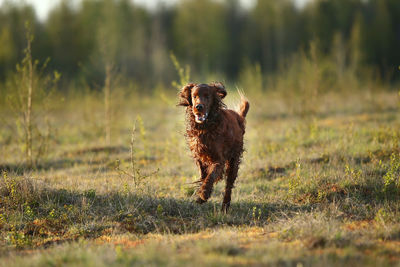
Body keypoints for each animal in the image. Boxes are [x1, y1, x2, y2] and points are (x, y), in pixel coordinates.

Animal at [179, 82, 248, 213]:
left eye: (207, 96)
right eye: (194, 96)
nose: (198, 107)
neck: (205, 128)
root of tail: (239, 117)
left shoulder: (218, 160)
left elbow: (211, 176)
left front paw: (203, 195)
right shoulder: (199, 155)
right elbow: (203, 173)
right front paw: (201, 189)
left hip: (233, 161)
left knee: (229, 186)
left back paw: (225, 206)